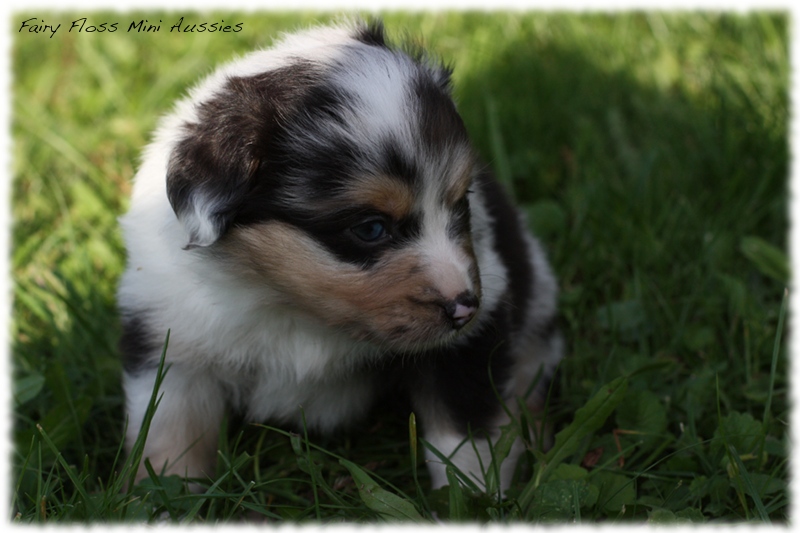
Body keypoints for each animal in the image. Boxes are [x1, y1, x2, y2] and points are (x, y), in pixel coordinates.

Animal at [117, 18, 564, 492]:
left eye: (461, 204)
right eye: (370, 229)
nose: (464, 308)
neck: (287, 304)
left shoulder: (470, 338)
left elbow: (463, 435)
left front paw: (473, 496)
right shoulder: (171, 341)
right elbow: (170, 437)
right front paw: (161, 498)